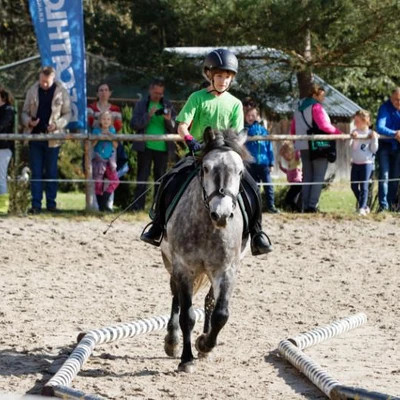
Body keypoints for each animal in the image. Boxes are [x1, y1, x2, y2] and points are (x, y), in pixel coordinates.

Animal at [160, 127, 250, 372]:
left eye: (240, 171)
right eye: (207, 168)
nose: (222, 215)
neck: (208, 226)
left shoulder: (226, 270)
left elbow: (221, 313)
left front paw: (205, 344)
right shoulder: (183, 268)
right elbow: (187, 315)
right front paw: (186, 359)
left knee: (209, 301)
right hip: (171, 262)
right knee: (176, 297)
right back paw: (172, 341)